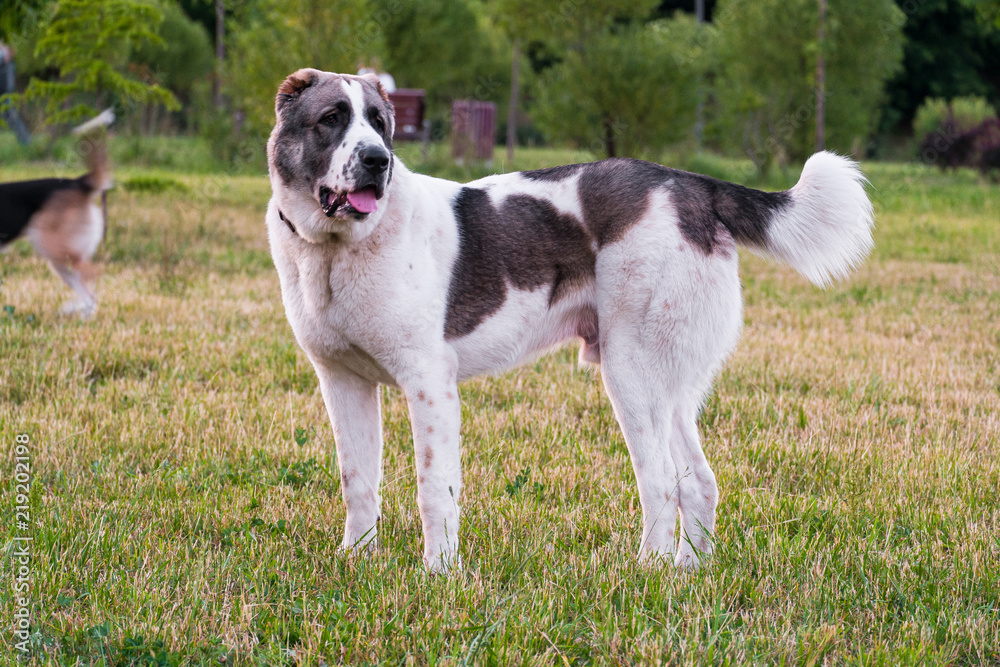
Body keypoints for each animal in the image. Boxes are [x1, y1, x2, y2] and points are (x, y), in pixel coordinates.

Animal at [0, 109, 114, 318]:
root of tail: (78, 183)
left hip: (56, 249)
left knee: (93, 276)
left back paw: (75, 310)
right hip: (59, 260)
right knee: (86, 288)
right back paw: (79, 313)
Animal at [266, 68, 876, 572]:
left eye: (379, 123)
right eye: (331, 119)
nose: (378, 160)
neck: (339, 249)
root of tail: (692, 185)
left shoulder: (429, 384)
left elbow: (433, 487)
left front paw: (439, 575)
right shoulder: (342, 382)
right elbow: (357, 481)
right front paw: (355, 561)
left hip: (631, 373)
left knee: (661, 482)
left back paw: (647, 573)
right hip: (668, 384)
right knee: (698, 481)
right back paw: (687, 571)